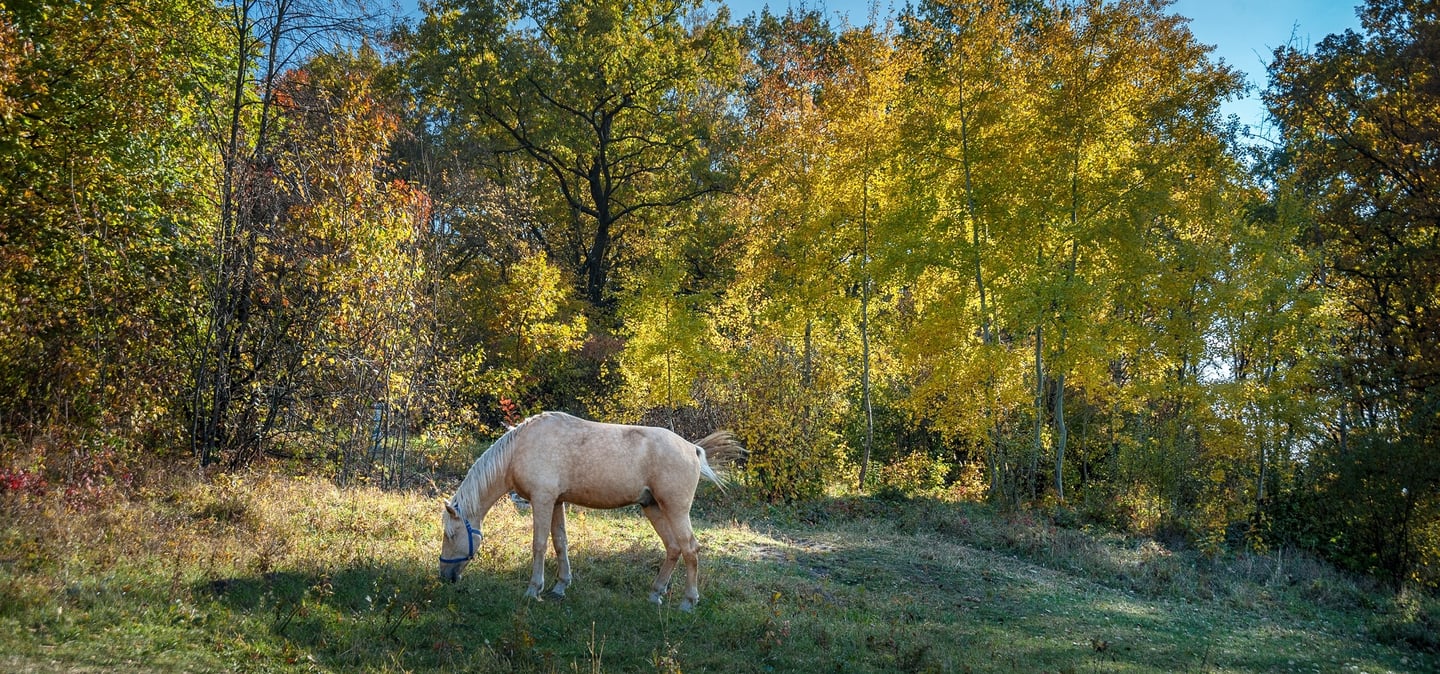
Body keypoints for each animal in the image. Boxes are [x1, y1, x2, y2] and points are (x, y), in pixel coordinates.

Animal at [437, 411, 743, 611]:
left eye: (450, 535)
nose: (445, 576)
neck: (520, 449)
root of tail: (693, 449)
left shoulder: (542, 500)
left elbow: (539, 544)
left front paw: (534, 589)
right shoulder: (556, 502)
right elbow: (560, 542)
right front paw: (560, 586)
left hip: (675, 509)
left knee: (690, 549)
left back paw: (688, 602)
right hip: (653, 507)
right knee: (673, 548)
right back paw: (655, 593)